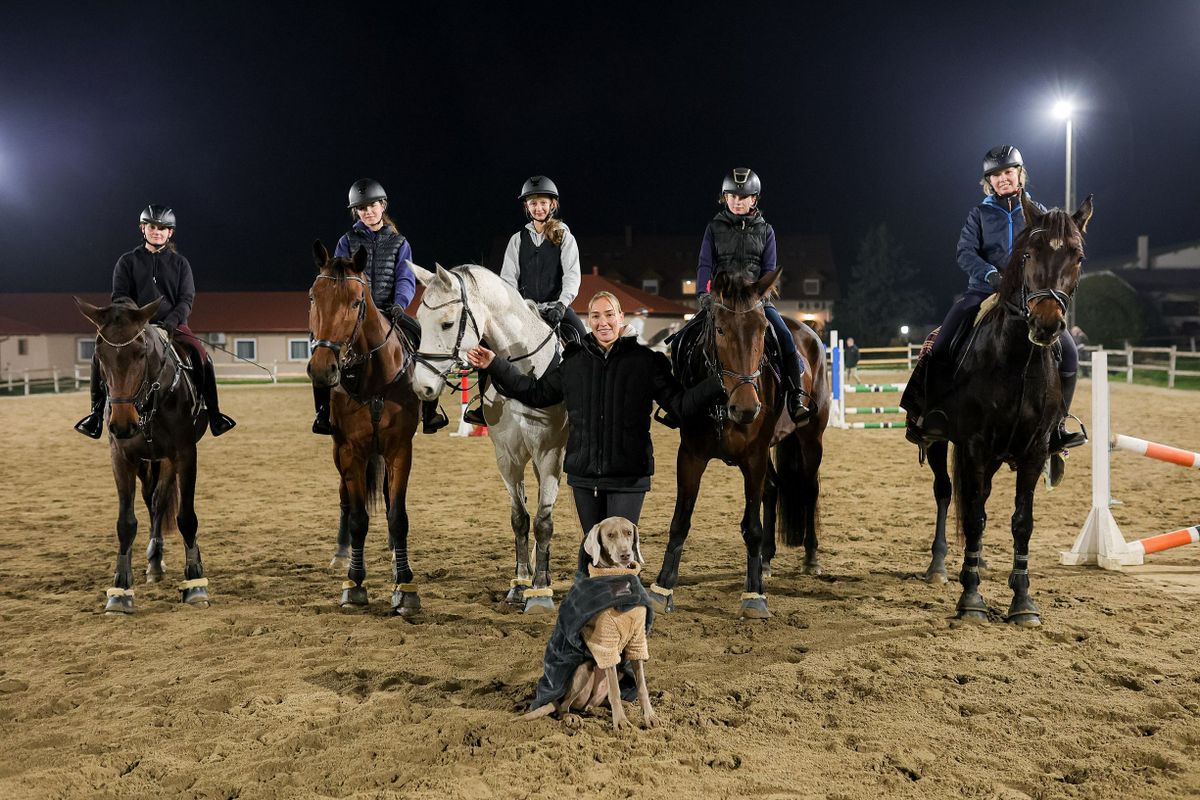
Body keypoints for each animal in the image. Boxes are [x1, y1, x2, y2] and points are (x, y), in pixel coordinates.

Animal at [73, 297, 212, 618]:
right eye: (99, 355)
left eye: (140, 353)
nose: (123, 424)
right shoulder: (122, 458)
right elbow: (126, 523)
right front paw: (120, 591)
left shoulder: (185, 454)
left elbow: (186, 517)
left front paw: (195, 582)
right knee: (153, 502)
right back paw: (154, 561)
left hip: (167, 460)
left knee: (160, 501)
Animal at [307, 241, 424, 618]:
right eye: (313, 296)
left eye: (357, 302)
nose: (322, 369)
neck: (373, 378)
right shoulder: (350, 451)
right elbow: (358, 517)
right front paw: (354, 583)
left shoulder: (400, 449)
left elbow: (397, 516)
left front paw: (405, 584)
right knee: (345, 499)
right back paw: (341, 553)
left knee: (387, 498)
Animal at [408, 262, 566, 614]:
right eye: (420, 322)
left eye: (447, 323)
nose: (422, 387)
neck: (526, 373)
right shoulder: (508, 456)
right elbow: (521, 519)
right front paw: (521, 584)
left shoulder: (550, 453)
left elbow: (544, 521)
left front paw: (540, 591)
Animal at [520, 520, 662, 734]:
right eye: (610, 535)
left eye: (629, 533)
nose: (626, 555)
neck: (620, 580)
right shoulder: (605, 645)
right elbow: (615, 689)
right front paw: (621, 722)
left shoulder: (637, 640)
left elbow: (642, 686)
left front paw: (650, 717)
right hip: (583, 669)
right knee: (563, 707)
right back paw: (571, 717)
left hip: (613, 674)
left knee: (593, 704)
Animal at [652, 268, 830, 618]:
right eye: (720, 329)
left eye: (761, 331)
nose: (747, 408)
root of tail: (810, 330)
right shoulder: (690, 456)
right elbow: (680, 522)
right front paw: (662, 587)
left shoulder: (754, 457)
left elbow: (752, 527)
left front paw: (754, 595)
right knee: (773, 489)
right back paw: (766, 560)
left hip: (810, 438)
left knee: (809, 489)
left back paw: (810, 558)